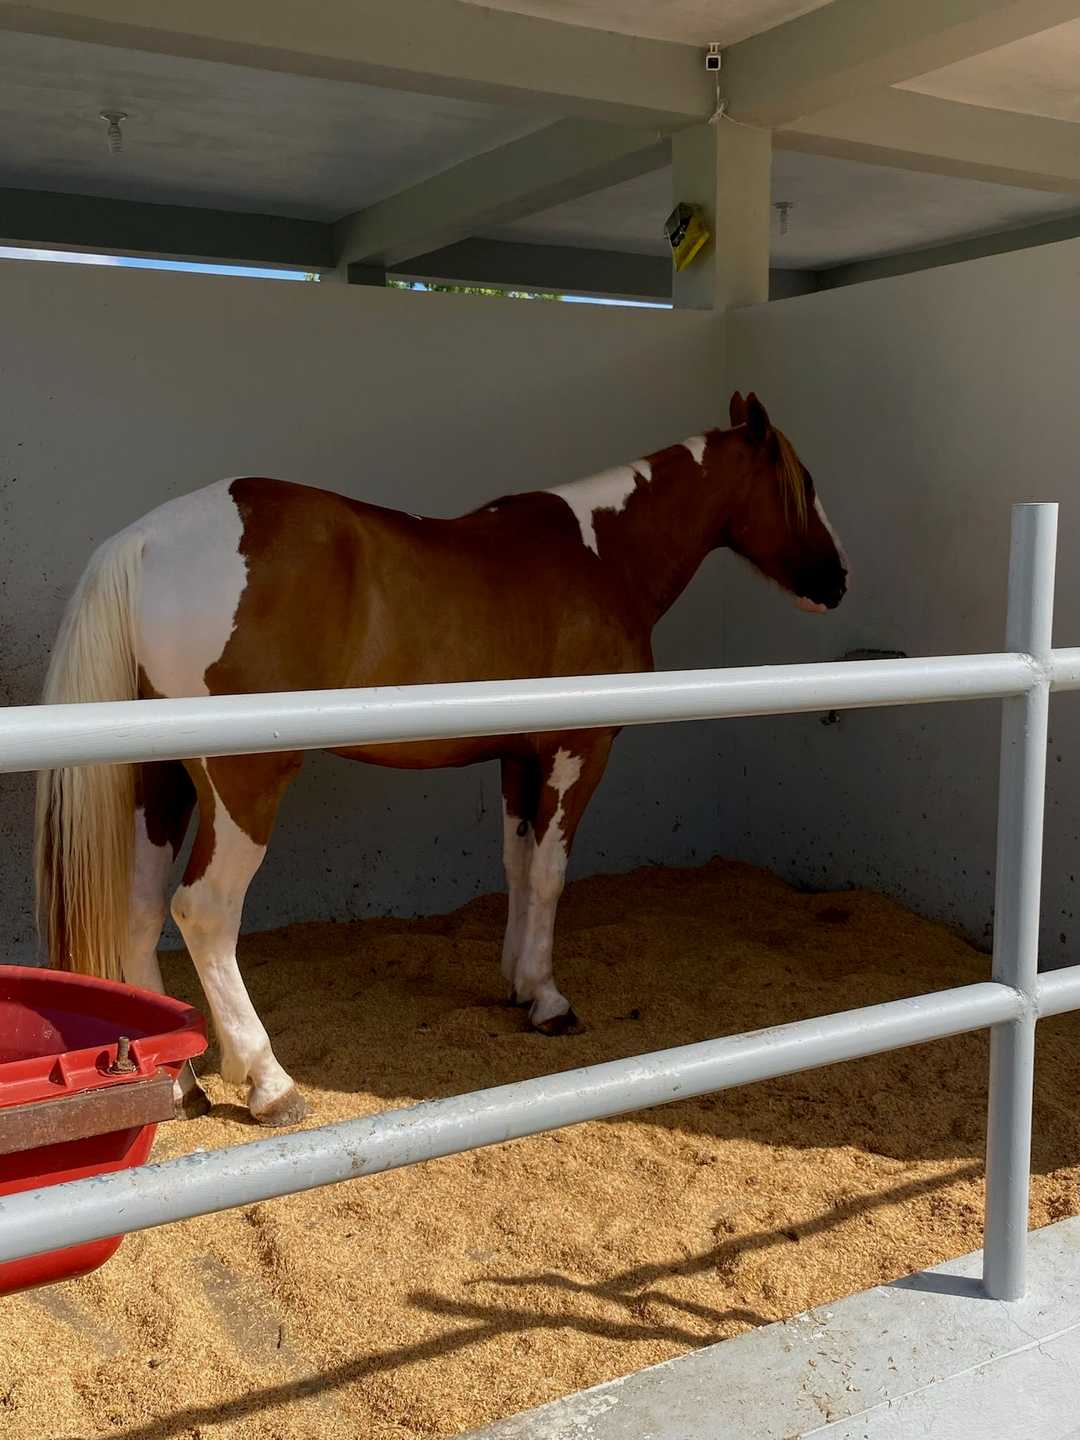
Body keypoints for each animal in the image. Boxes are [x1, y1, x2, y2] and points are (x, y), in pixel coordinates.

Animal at [35, 391, 847, 1126]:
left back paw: (181, 1086)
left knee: (141, 909)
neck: (601, 554)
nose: (837, 581)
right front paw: (550, 1002)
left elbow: (518, 866)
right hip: (243, 782)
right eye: (803, 482)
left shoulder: (519, 759)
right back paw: (271, 1084)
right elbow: (550, 875)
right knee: (202, 913)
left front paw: (520, 984)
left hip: (161, 779)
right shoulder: (575, 750)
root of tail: (147, 540)